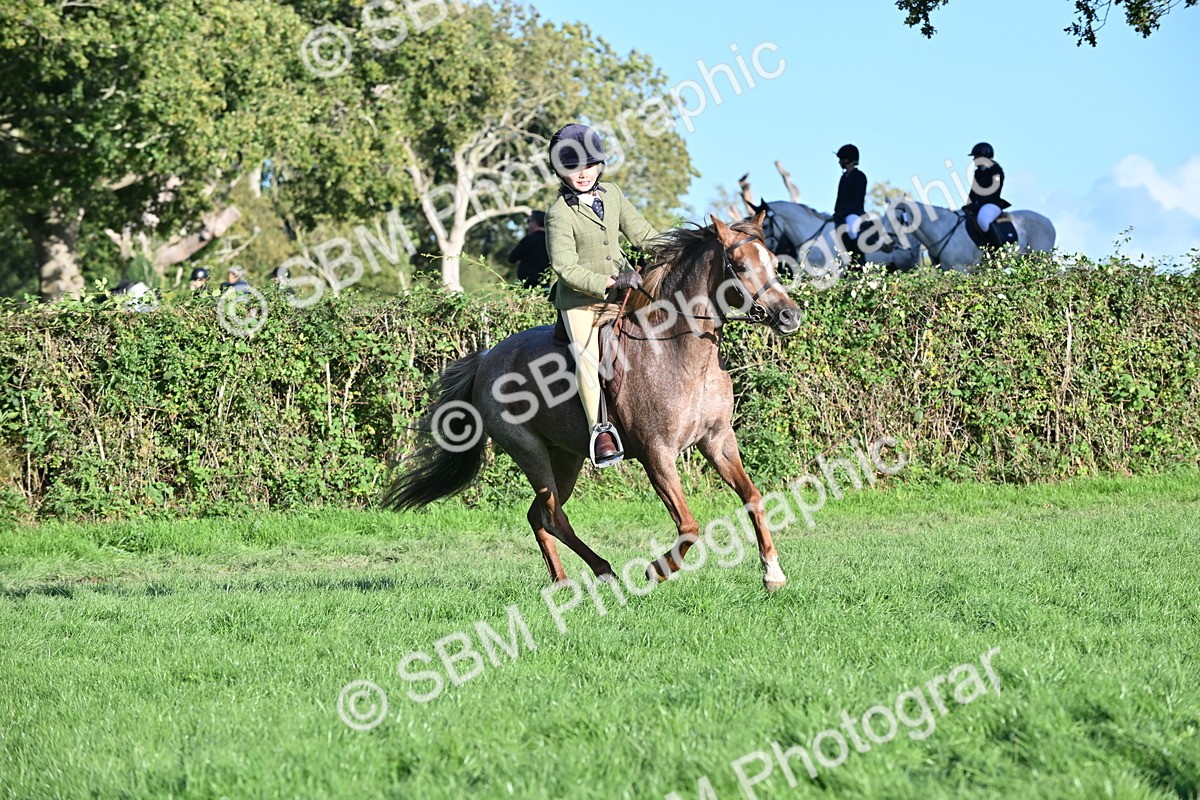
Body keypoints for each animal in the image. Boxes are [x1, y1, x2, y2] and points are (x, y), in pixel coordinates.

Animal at [382, 212, 801, 591]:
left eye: (773, 262)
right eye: (740, 265)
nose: (790, 316)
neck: (680, 352)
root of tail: (487, 358)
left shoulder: (717, 441)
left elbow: (753, 498)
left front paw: (773, 573)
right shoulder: (657, 454)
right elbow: (689, 526)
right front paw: (656, 570)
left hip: (566, 457)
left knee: (539, 515)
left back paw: (563, 581)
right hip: (529, 451)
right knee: (553, 516)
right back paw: (605, 572)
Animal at [881, 198, 1056, 271]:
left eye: (898, 218)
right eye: (883, 217)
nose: (885, 245)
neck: (941, 229)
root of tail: (1048, 221)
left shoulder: (962, 269)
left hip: (1042, 260)